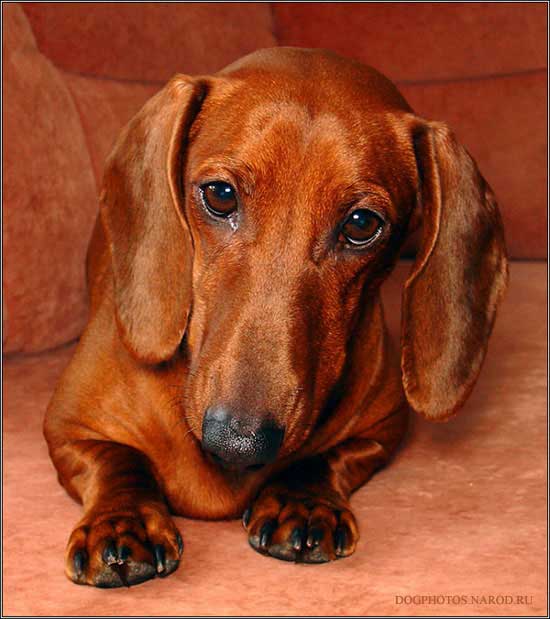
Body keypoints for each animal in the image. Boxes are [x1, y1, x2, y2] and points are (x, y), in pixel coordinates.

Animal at [45, 47, 512, 588]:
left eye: (361, 224)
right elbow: (116, 458)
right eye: (220, 195)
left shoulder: (384, 430)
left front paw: (302, 500)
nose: (238, 443)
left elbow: (326, 457)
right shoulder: (66, 426)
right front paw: (124, 521)